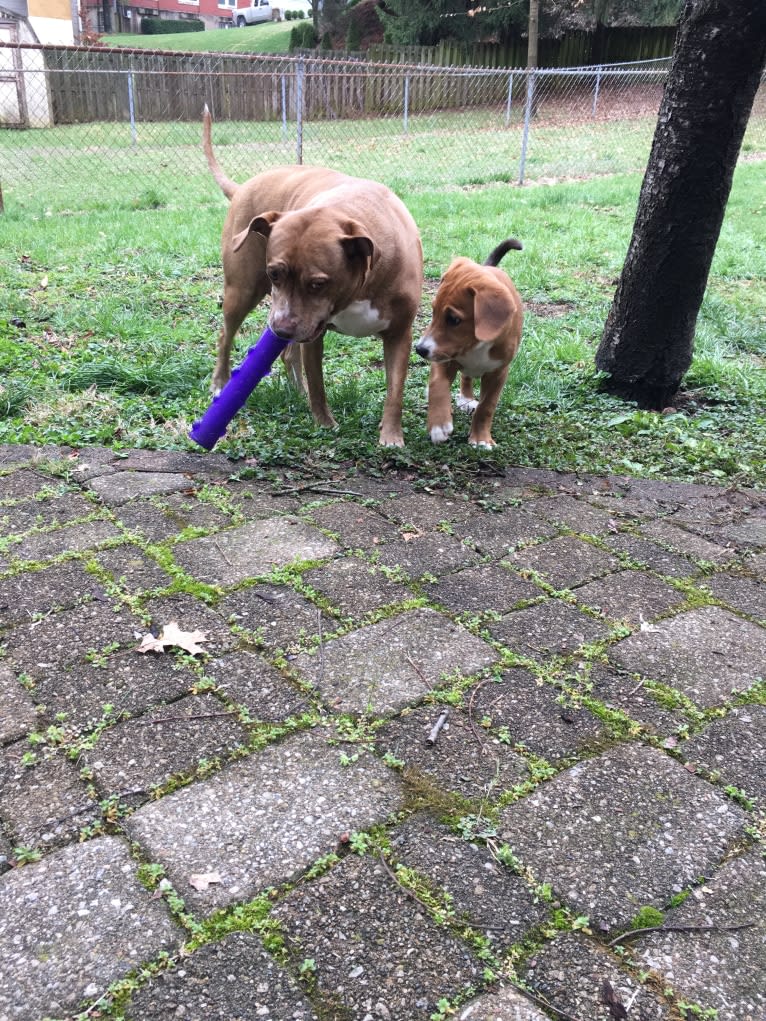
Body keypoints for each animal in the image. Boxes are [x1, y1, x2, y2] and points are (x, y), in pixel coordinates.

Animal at [202, 107, 426, 447]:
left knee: (287, 354)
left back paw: (296, 390)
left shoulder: (399, 333)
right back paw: (221, 382)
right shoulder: (311, 333)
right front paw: (325, 424)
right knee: (227, 335)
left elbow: (395, 391)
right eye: (274, 274)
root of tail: (243, 187)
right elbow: (319, 385)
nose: (280, 329)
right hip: (242, 291)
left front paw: (391, 435)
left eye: (318, 284)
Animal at [416, 238, 527, 451]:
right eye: (433, 311)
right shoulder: (444, 358)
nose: (420, 350)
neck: (476, 344)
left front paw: (481, 438)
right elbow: (438, 384)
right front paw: (438, 425)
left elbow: (486, 407)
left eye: (454, 320)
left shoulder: (498, 372)